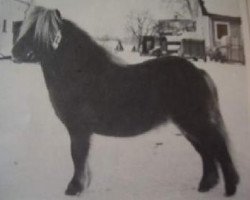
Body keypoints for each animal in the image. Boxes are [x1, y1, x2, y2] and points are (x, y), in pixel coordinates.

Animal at [12, 5, 239, 197]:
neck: (81, 73)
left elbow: (77, 157)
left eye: (38, 31)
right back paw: (206, 185)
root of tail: (198, 71)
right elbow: (81, 159)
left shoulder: (78, 130)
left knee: (217, 147)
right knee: (206, 151)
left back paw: (230, 189)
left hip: (194, 122)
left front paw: (74, 188)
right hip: (188, 125)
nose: (15, 52)